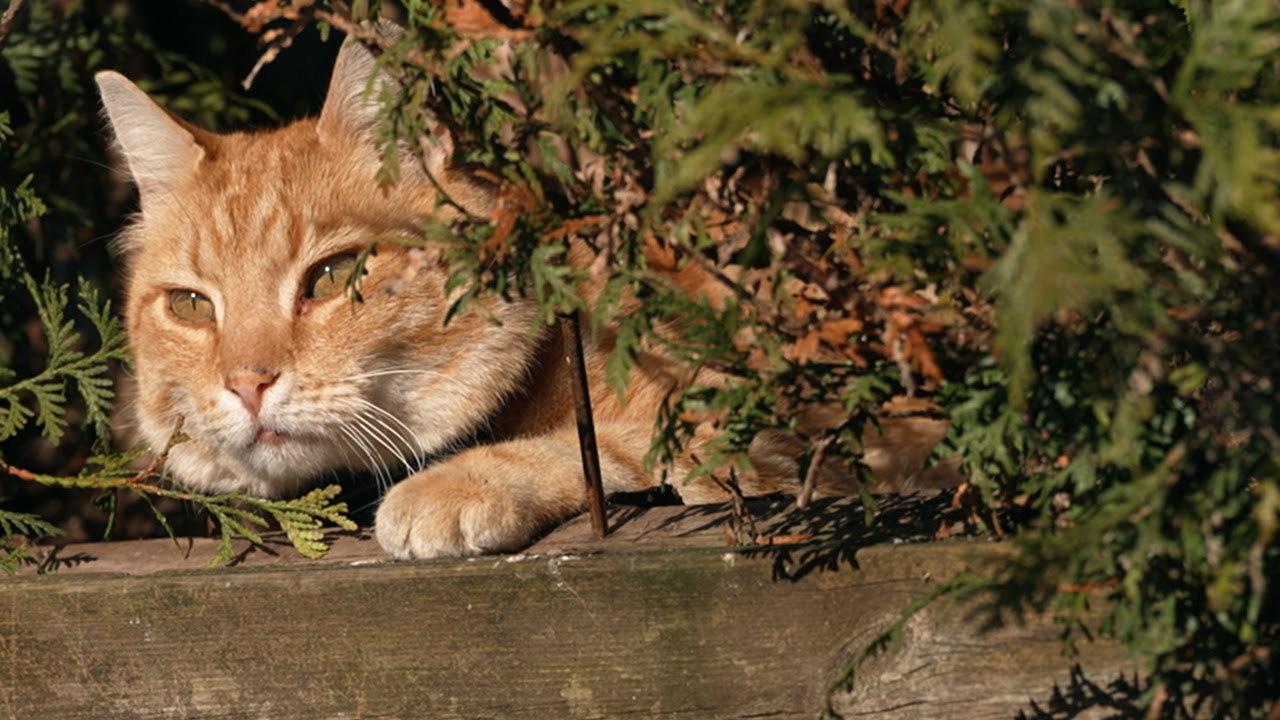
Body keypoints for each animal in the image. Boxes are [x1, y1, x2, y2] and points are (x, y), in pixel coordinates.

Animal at [99, 30, 957, 558]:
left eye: (334, 275)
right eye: (190, 306)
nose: (247, 383)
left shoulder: (784, 444)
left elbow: (607, 448)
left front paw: (456, 481)